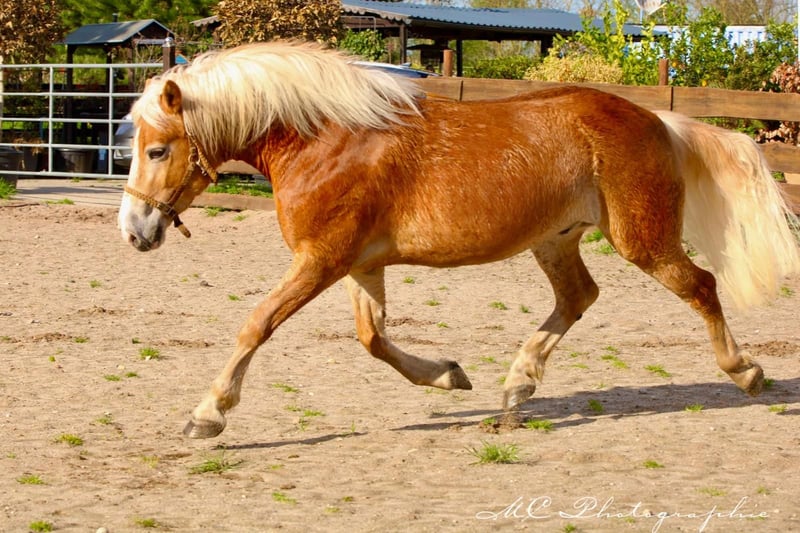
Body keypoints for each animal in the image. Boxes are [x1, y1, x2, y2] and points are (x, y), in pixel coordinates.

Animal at [117, 41, 800, 439]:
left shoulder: (320, 259)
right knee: (578, 297)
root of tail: (657, 119)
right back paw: (516, 388)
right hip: (555, 240)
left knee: (700, 285)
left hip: (643, 240)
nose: (134, 231)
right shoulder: (358, 264)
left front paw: (207, 414)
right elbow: (373, 339)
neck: (327, 140)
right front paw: (450, 376)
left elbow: (256, 324)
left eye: (157, 150)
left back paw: (748, 373)